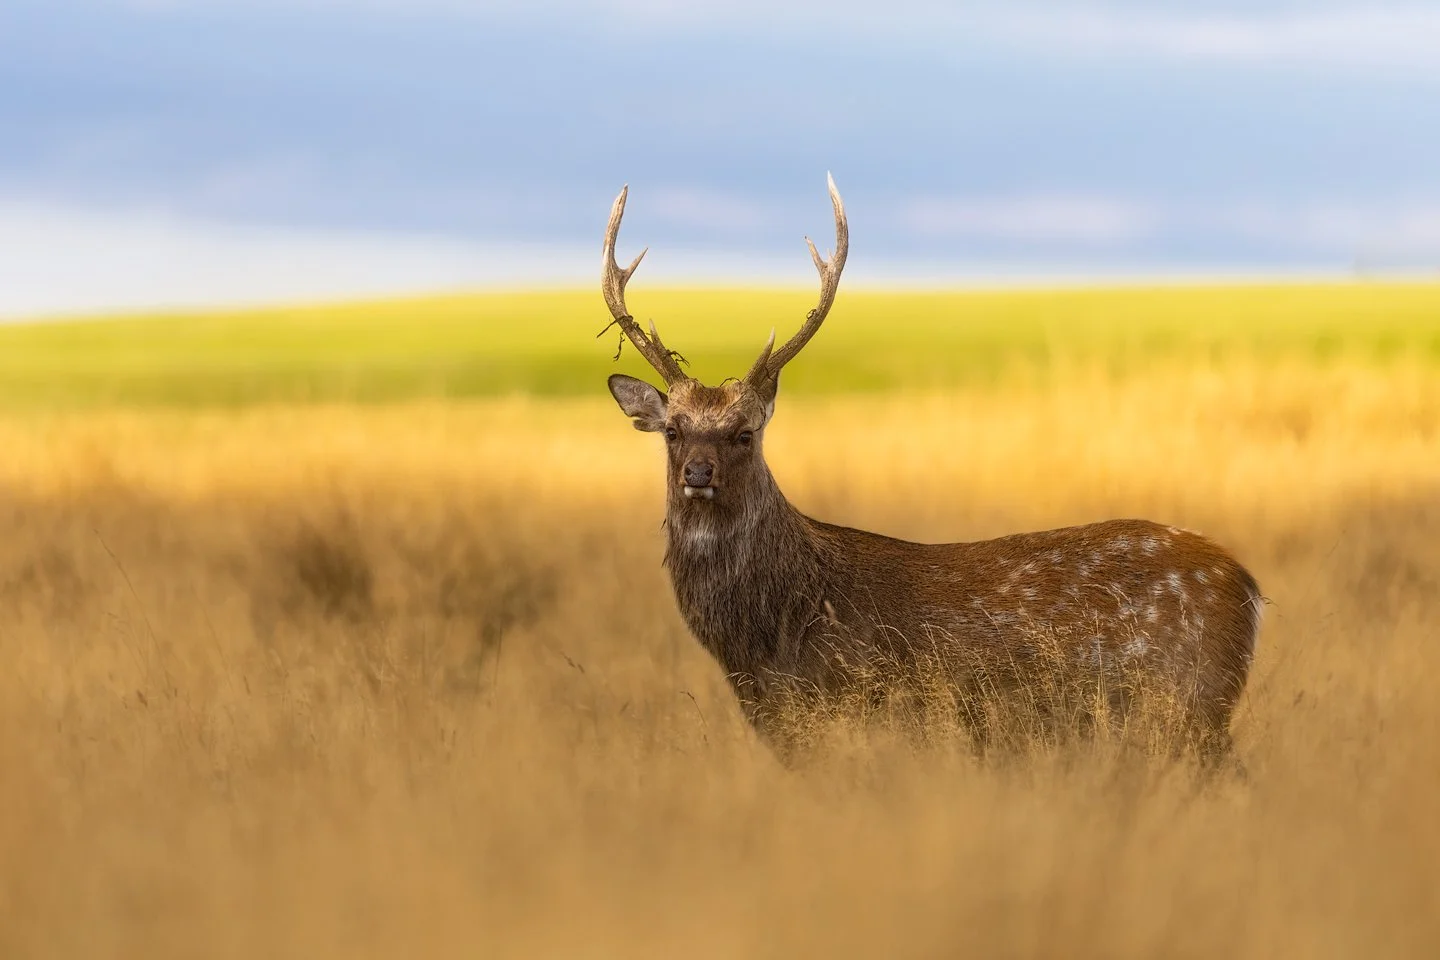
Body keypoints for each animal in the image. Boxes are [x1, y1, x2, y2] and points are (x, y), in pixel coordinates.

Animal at [599, 175, 1263, 760]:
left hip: (1184, 704)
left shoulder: (857, 710)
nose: (698, 473)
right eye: (673, 431)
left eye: (745, 432)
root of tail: (1248, 589)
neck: (768, 639)